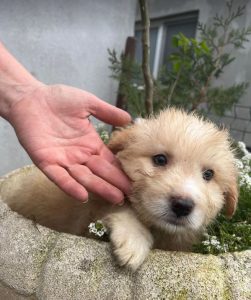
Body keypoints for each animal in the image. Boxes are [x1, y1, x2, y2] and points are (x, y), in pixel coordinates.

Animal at [4, 109, 239, 270]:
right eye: (160, 159)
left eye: (208, 174)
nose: (182, 205)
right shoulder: (88, 210)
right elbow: (121, 207)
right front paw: (134, 241)